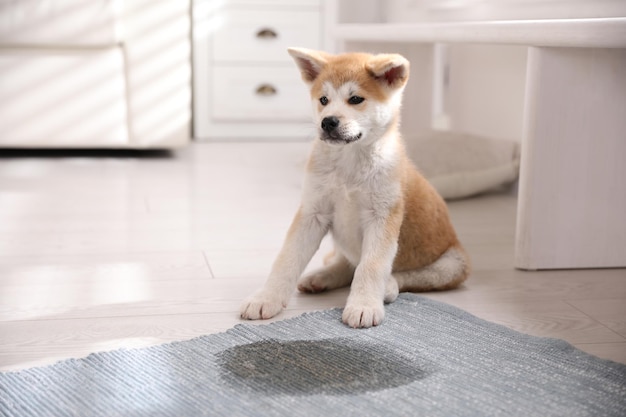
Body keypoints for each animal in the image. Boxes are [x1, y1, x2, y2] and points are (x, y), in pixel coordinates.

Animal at [239, 48, 468, 326]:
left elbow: (371, 266)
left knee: (402, 276)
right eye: (324, 99)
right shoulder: (312, 213)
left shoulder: (382, 216)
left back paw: (388, 286)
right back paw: (321, 277)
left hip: (452, 264)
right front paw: (266, 298)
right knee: (346, 264)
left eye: (356, 99)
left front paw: (364, 305)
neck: (349, 163)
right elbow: (286, 260)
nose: (328, 122)